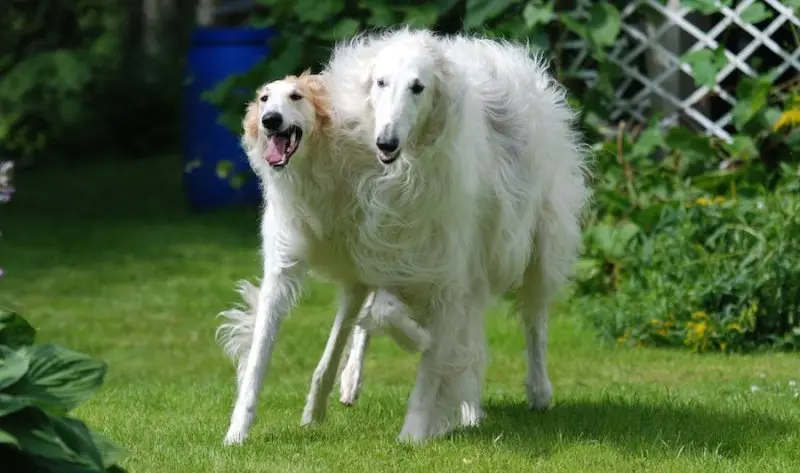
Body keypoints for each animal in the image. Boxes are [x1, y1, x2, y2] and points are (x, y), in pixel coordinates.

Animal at [216, 27, 592, 444]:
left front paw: (413, 431)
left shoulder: (436, 268)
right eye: (381, 83)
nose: (270, 120)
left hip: (537, 247)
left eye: (418, 87)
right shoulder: (304, 263)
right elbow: (262, 355)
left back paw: (534, 392)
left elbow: (428, 354)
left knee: (532, 320)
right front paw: (237, 432)